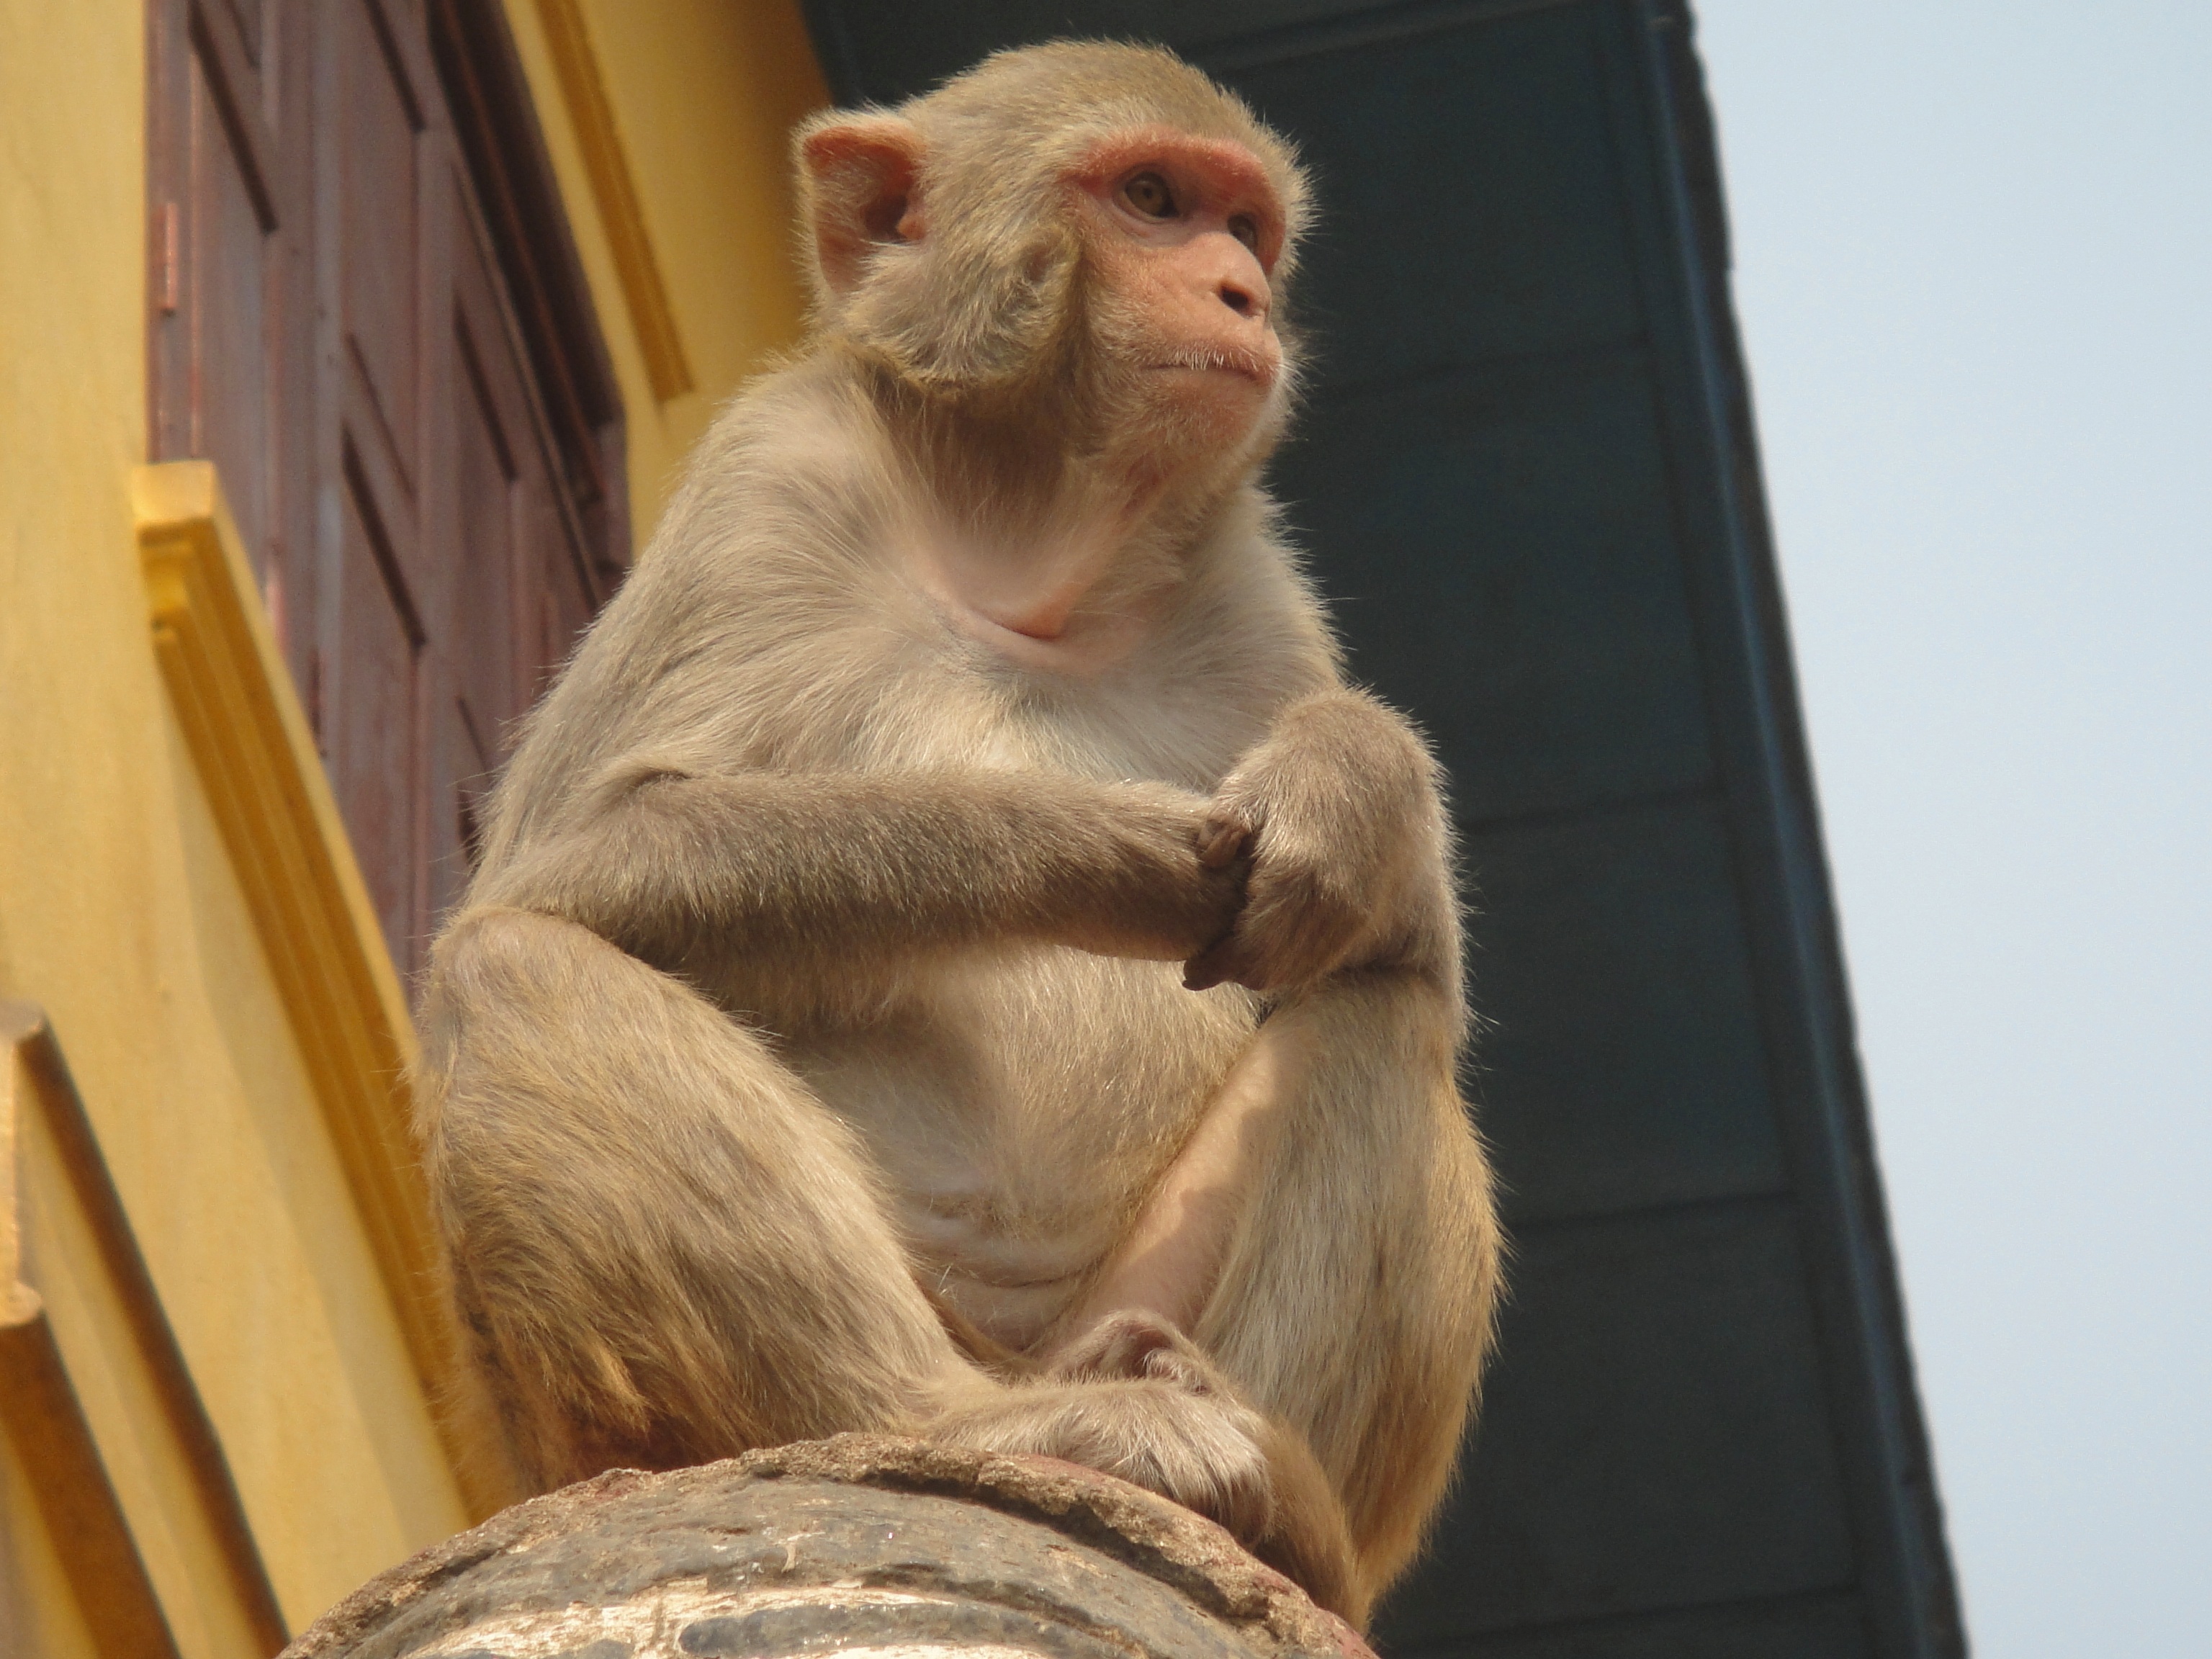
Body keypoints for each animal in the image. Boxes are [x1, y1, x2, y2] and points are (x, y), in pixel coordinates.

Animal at [415, 42, 1503, 1637]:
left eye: (1246, 229)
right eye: (1152, 198)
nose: (1241, 295)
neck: (1021, 560)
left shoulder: (1252, 580)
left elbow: (1403, 934)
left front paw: (1350, 783)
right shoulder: (771, 479)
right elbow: (582, 854)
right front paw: (1091, 846)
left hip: (1126, 1302)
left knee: (1378, 1010)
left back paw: (1277, 1511)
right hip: (599, 1424)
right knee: (510, 965)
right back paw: (962, 1421)